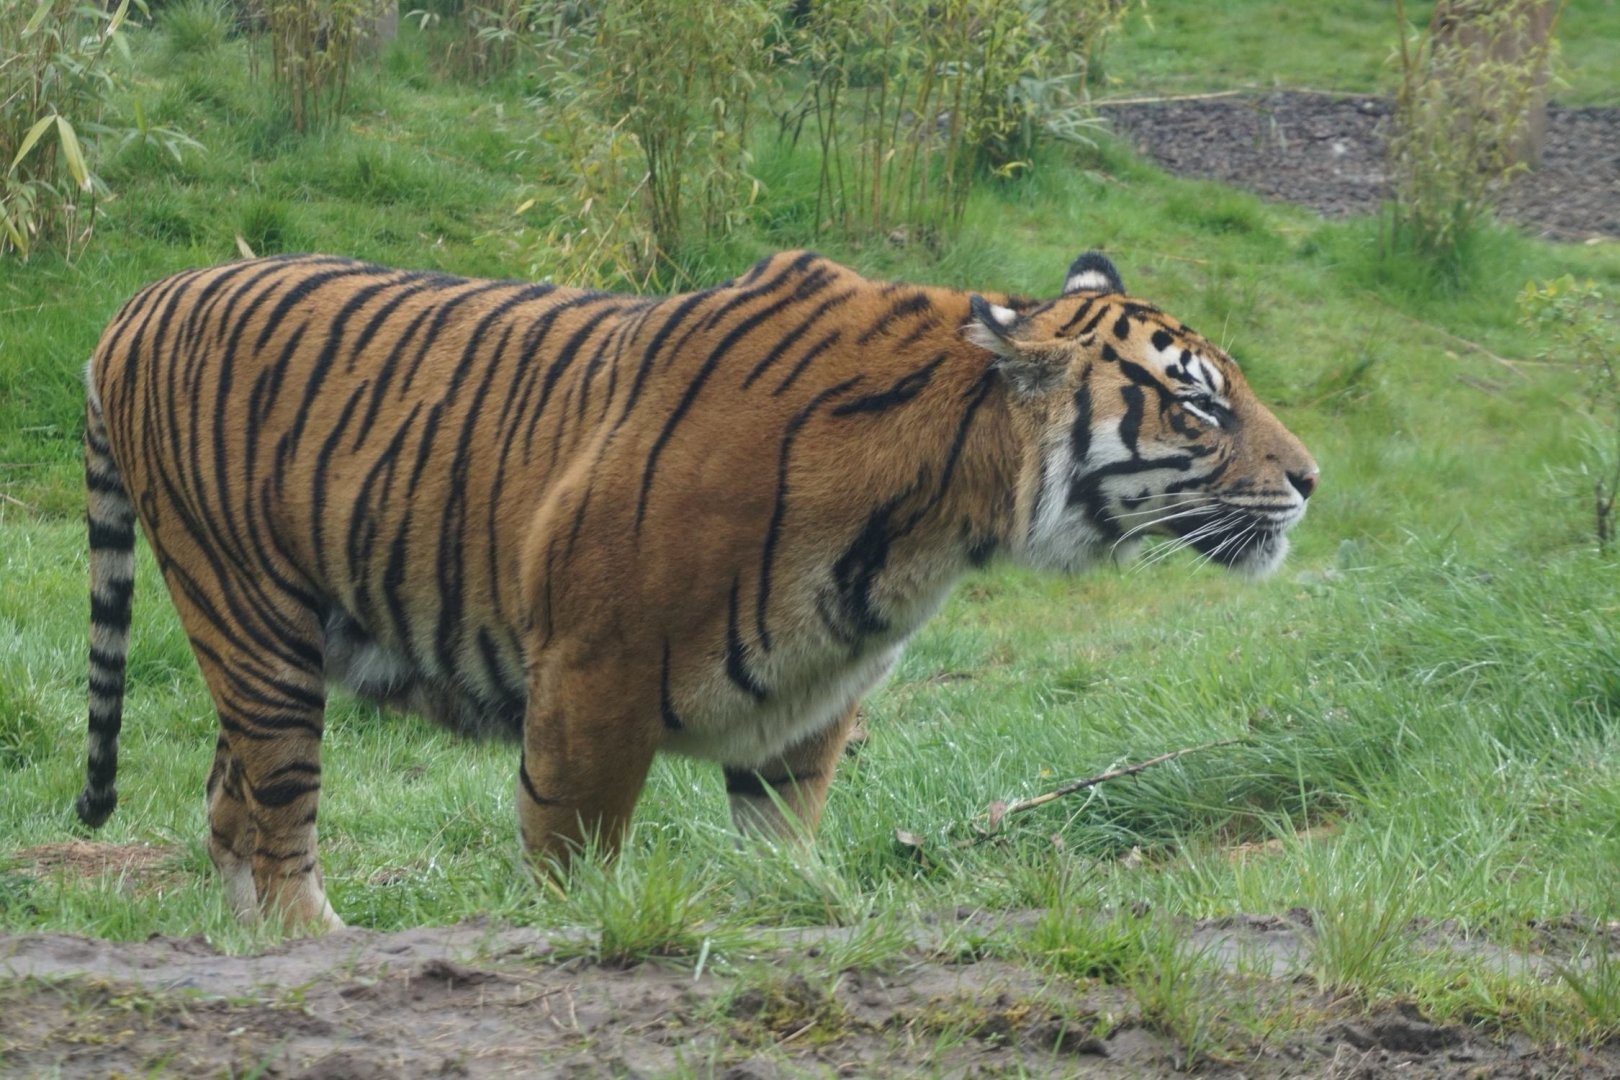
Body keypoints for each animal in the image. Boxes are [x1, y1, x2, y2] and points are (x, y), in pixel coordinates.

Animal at [77, 249, 1317, 931]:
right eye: (1198, 406)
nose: (1311, 479)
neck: (942, 514)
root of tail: (135, 301)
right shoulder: (591, 674)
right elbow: (569, 854)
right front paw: (575, 930)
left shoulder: (809, 701)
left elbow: (781, 843)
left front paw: (802, 916)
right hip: (250, 625)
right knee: (278, 810)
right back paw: (317, 937)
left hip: (273, 642)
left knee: (229, 803)